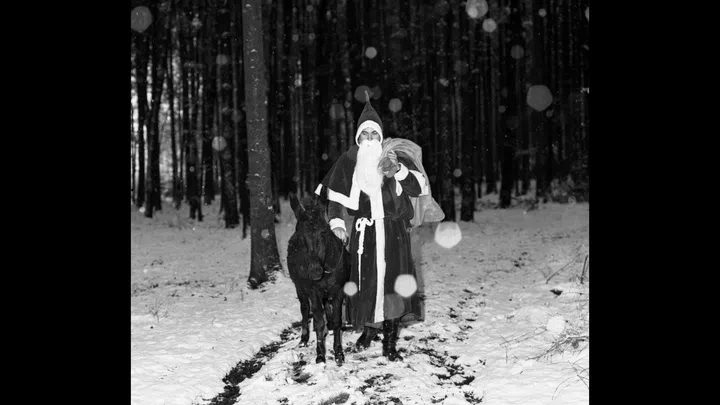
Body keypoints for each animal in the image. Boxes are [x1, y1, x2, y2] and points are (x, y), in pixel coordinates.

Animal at [287, 192, 351, 365]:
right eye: (302, 236)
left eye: (324, 232)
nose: (315, 271)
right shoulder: (313, 291)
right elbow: (318, 320)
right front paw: (320, 353)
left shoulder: (339, 290)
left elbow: (337, 321)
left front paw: (338, 352)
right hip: (300, 288)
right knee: (305, 309)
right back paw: (304, 338)